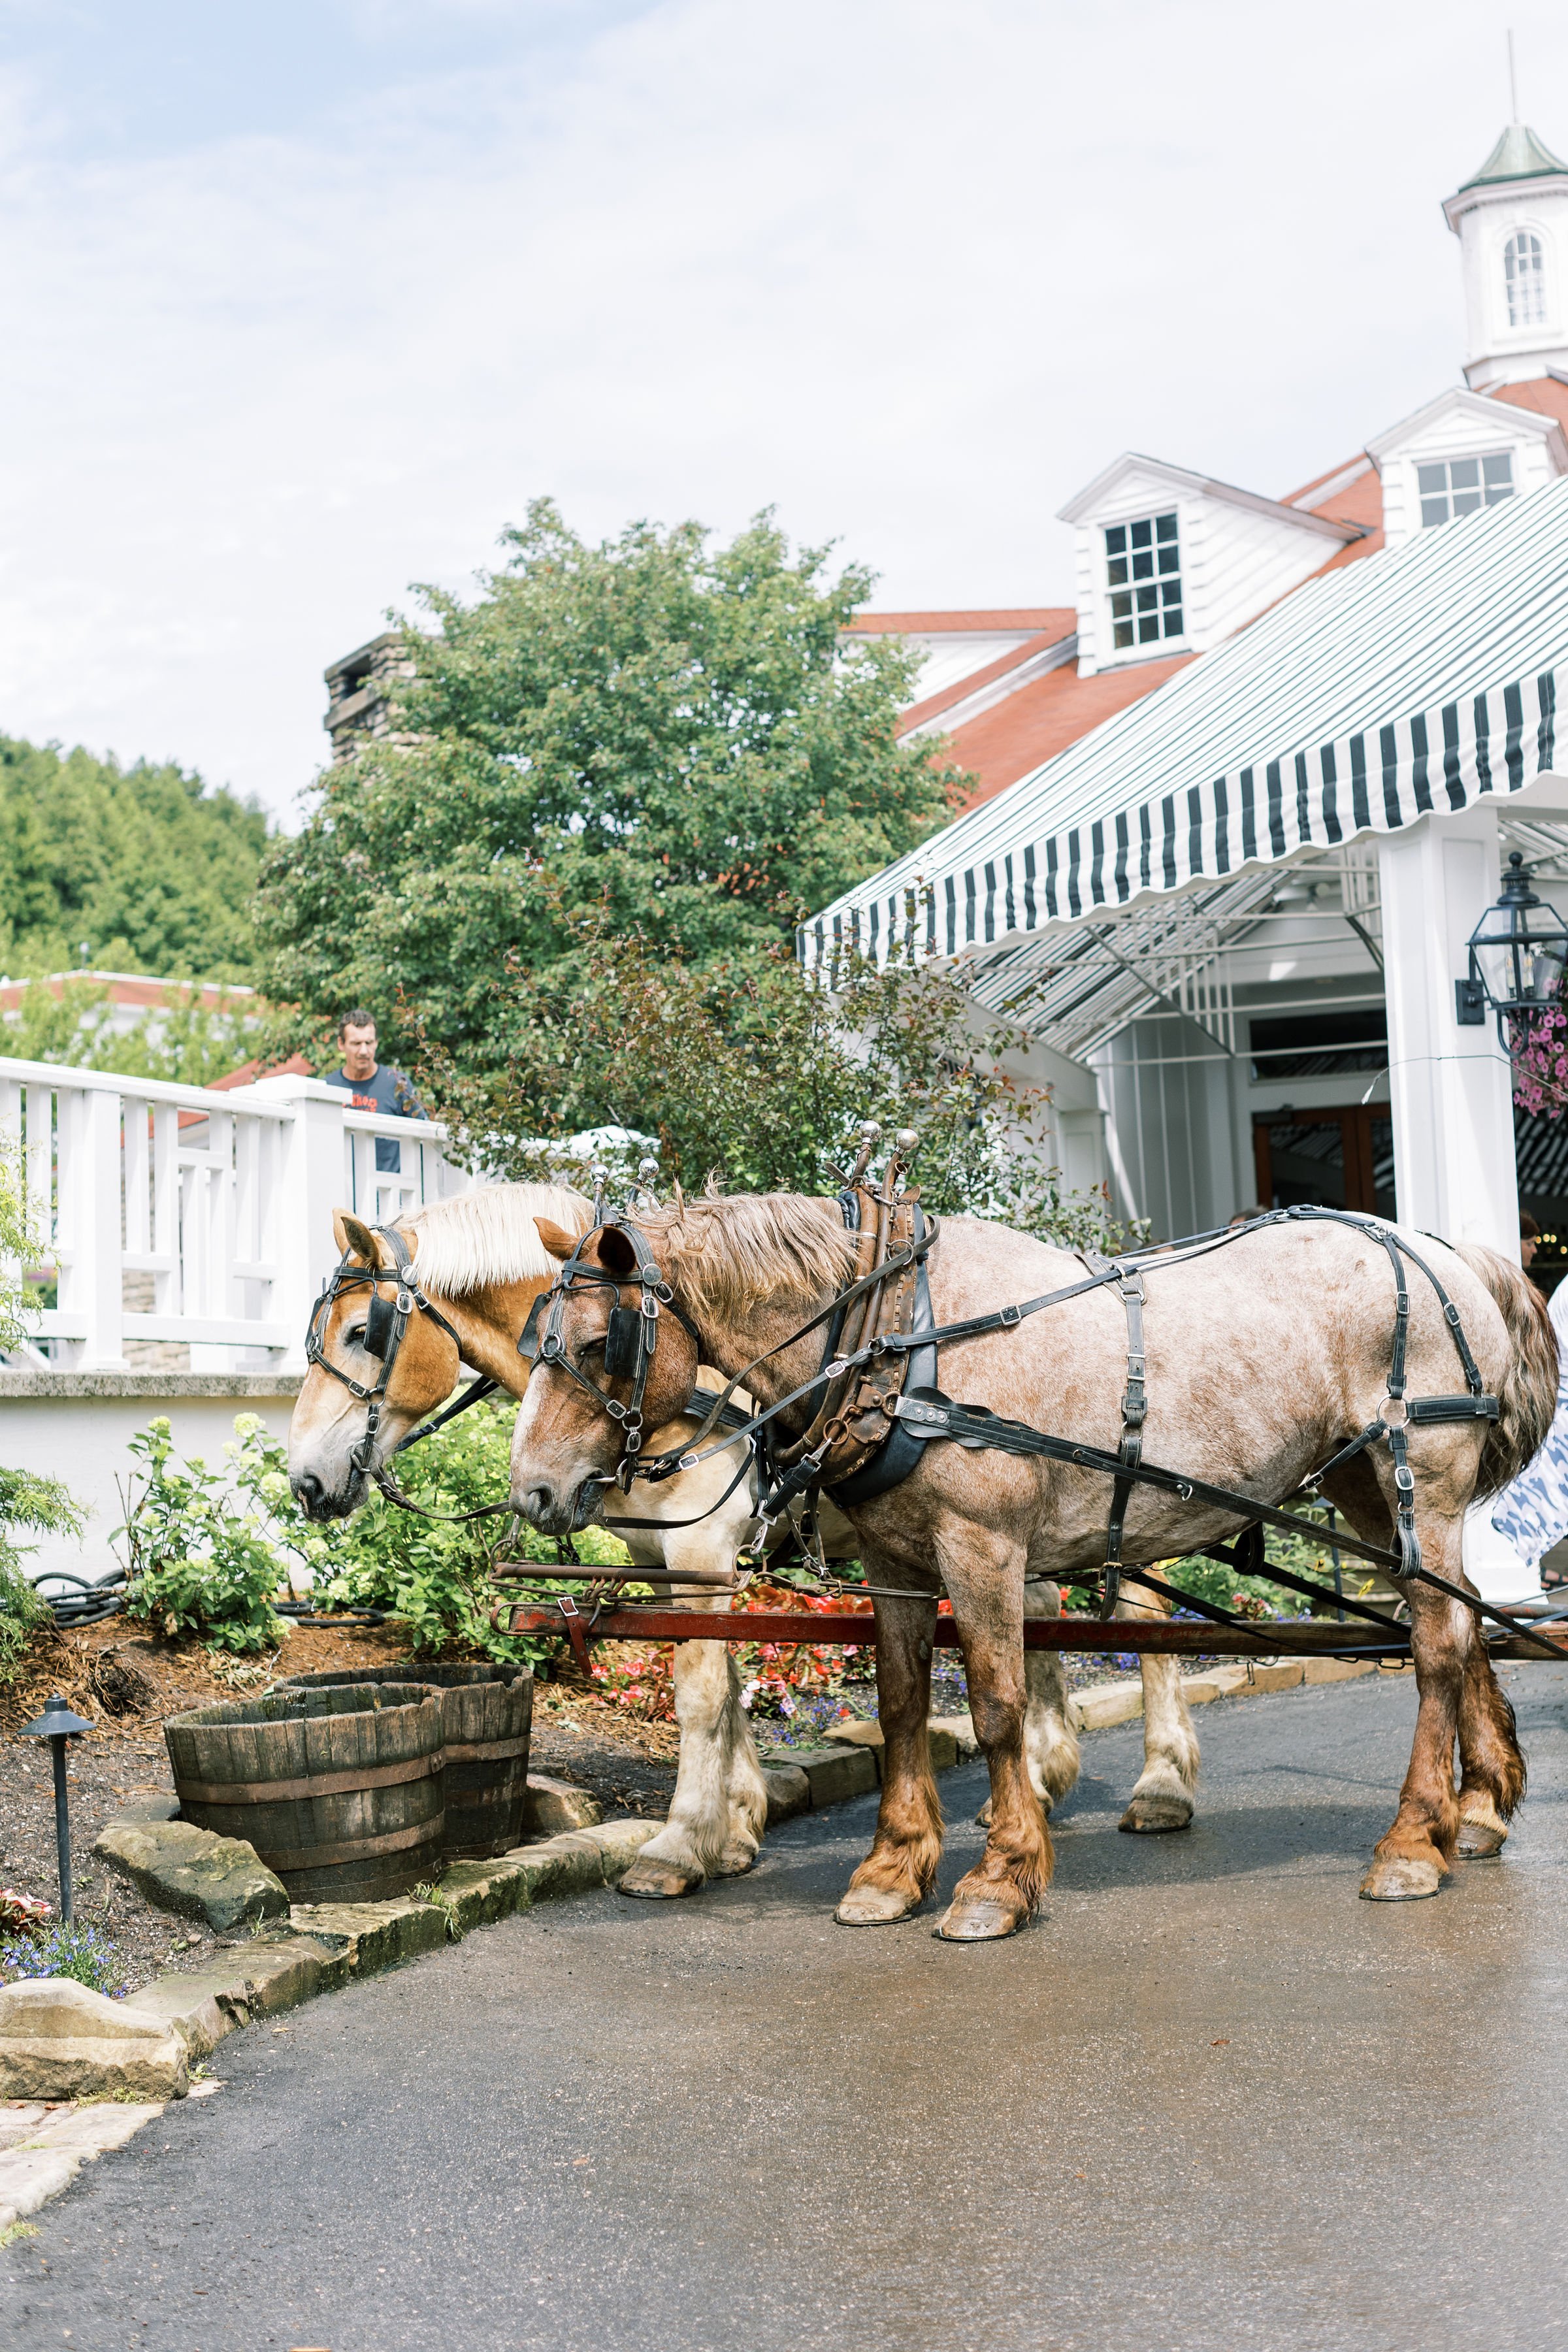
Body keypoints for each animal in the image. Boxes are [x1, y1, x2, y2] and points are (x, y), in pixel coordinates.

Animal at [515, 1194, 1561, 1947]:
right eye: (533, 1342)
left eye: (601, 1344)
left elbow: (995, 1705)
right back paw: (1478, 1810)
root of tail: (1439, 1248)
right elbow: (903, 1704)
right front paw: (892, 1870)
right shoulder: (896, 1558)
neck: (901, 1338)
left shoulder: (981, 1543)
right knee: (1460, 1622)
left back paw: (1413, 1843)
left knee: (1436, 1642)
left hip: (1422, 1473)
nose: (531, 1489)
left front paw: (999, 1880)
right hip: (1366, 1488)